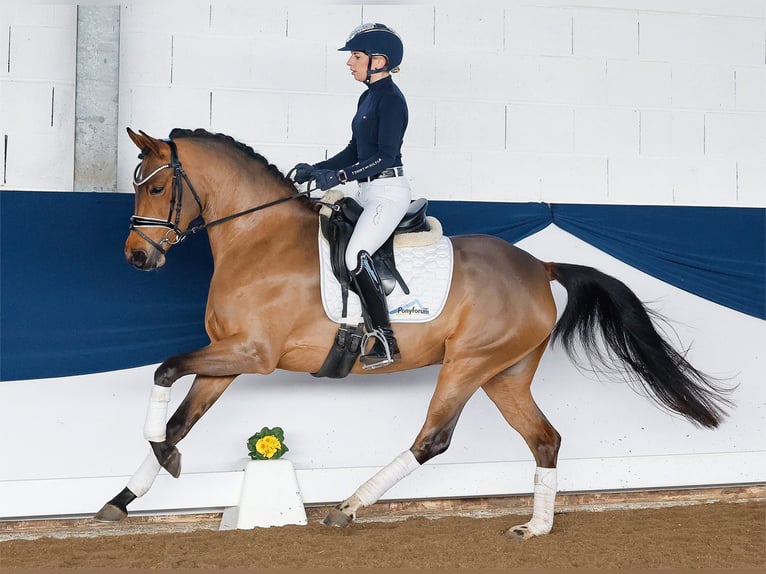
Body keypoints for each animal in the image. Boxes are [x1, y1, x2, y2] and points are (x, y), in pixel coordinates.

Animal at [94, 127, 732, 540]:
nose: (135, 258)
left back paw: (348, 508)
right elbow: (180, 417)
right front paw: (122, 500)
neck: (257, 238)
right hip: (505, 374)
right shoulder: (228, 358)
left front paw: (162, 462)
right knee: (545, 439)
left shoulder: (251, 354)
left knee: (434, 438)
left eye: (155, 188)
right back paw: (536, 526)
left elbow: (164, 371)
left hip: (468, 364)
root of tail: (539, 266)